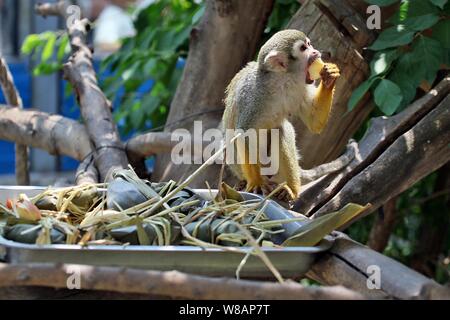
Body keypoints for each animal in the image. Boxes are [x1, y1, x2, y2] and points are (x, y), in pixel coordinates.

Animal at [221, 29, 342, 200]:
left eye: (309, 44)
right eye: (303, 48)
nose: (315, 52)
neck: (282, 81)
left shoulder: (301, 87)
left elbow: (314, 122)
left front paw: (330, 77)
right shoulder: (252, 95)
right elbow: (244, 133)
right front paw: (256, 182)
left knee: (280, 130)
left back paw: (291, 189)